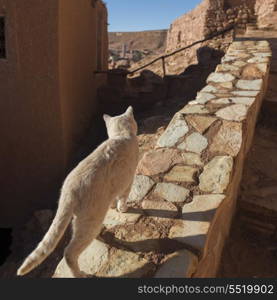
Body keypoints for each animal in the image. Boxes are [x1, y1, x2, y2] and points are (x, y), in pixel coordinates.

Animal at [17, 106, 138, 278]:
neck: (121, 135)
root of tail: (67, 190)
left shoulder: (116, 186)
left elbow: (114, 199)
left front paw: (114, 206)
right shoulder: (128, 180)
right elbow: (123, 199)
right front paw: (123, 209)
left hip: (83, 219)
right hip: (90, 220)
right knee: (69, 253)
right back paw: (80, 274)